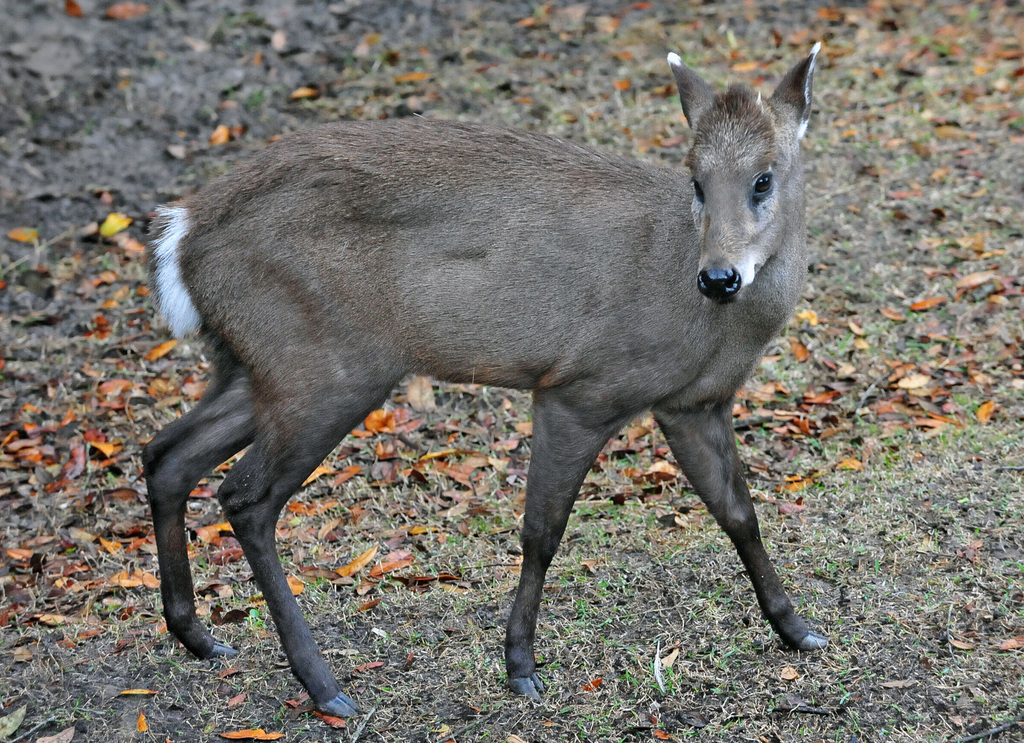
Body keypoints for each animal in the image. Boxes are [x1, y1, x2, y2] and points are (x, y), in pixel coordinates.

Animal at [143, 44, 826, 717]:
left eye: (763, 178)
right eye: (696, 180)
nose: (719, 277)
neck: (714, 327)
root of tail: (183, 236)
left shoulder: (694, 402)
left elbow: (739, 512)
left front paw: (797, 630)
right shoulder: (582, 387)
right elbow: (542, 531)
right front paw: (520, 665)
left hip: (261, 367)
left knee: (166, 452)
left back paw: (199, 636)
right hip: (323, 368)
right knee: (244, 495)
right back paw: (325, 685)